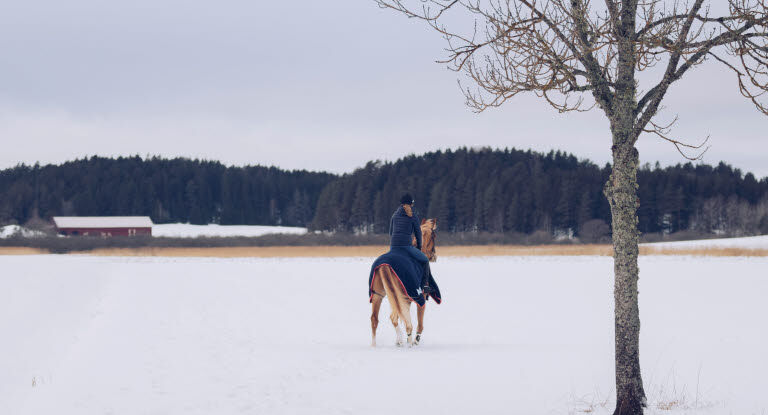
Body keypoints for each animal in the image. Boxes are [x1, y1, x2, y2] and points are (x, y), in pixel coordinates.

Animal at [370, 218, 438, 348]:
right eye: (434, 235)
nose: (434, 256)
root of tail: (385, 265)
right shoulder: (418, 297)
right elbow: (419, 322)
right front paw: (415, 340)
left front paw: (399, 341)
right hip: (402, 296)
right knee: (401, 320)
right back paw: (408, 342)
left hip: (378, 295)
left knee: (375, 319)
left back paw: (376, 345)